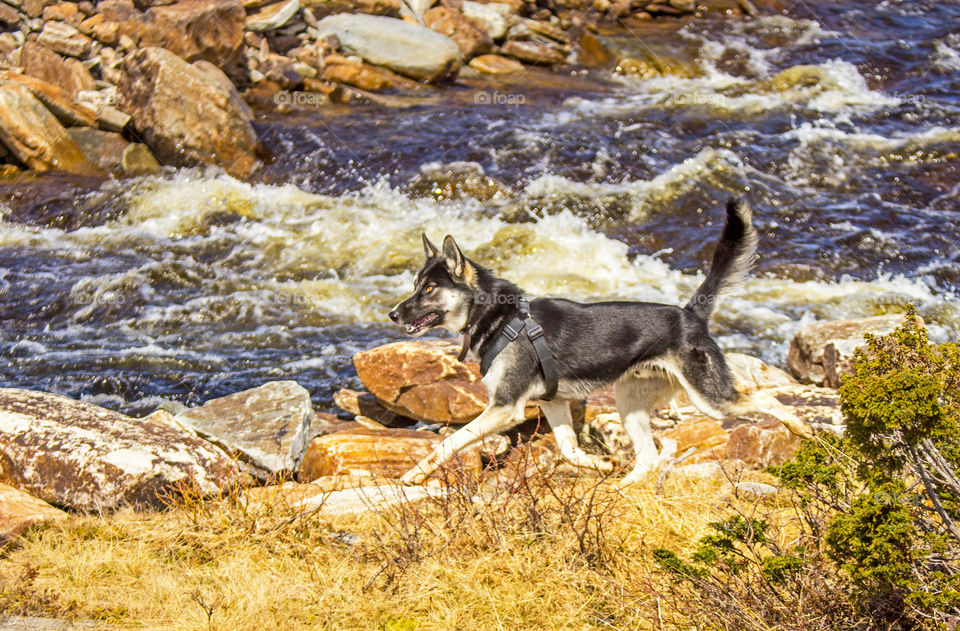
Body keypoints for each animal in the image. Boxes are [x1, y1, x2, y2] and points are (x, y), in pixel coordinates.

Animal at [390, 200, 808, 486]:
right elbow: (569, 449)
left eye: (429, 289)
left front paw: (414, 475)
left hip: (708, 398)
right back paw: (621, 487)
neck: (499, 317)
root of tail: (690, 314)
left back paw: (801, 428)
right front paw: (600, 464)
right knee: (648, 458)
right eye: (415, 285)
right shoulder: (553, 402)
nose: (393, 314)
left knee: (765, 398)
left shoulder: (505, 408)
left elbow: (450, 442)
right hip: (629, 403)